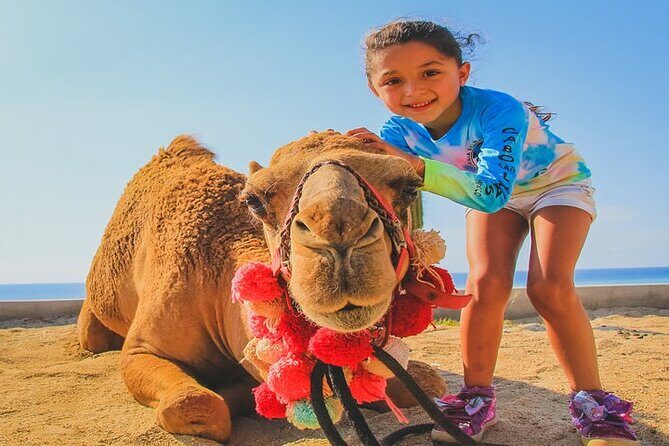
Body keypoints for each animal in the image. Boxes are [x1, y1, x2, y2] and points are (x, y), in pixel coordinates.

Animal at [78, 132, 446, 443]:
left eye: (410, 188)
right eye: (254, 200)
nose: (338, 229)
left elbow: (427, 381)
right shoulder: (143, 347)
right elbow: (196, 402)